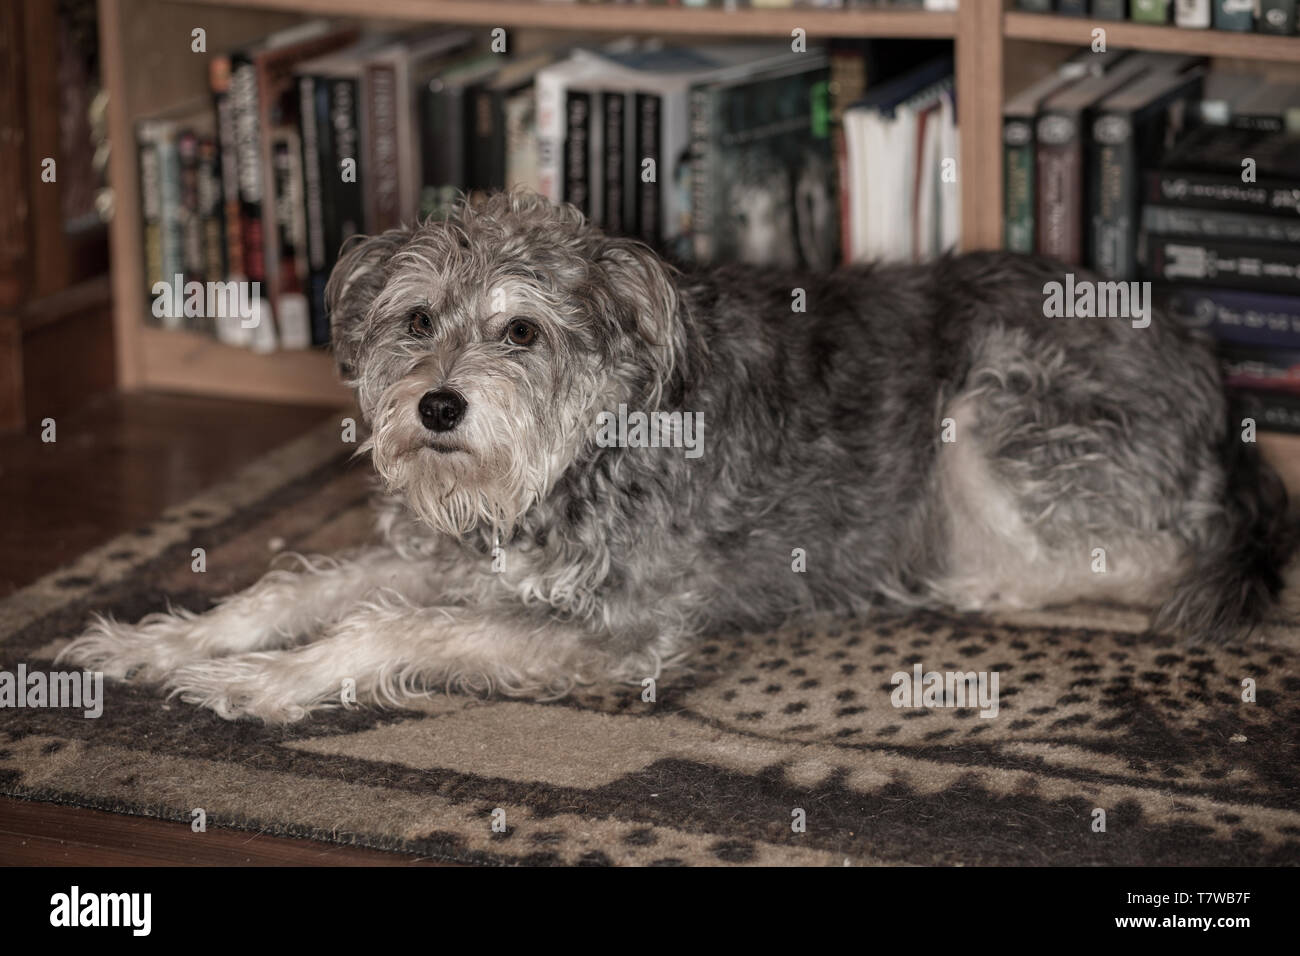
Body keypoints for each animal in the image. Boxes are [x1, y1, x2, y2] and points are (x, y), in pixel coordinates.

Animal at [58, 191, 1289, 723]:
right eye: (415, 320)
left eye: (521, 331)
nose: (439, 407)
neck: (573, 455)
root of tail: (1212, 379)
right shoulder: (444, 558)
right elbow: (287, 590)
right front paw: (156, 642)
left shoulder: (622, 634)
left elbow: (386, 630)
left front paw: (259, 683)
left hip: (989, 417)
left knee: (1145, 555)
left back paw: (964, 581)